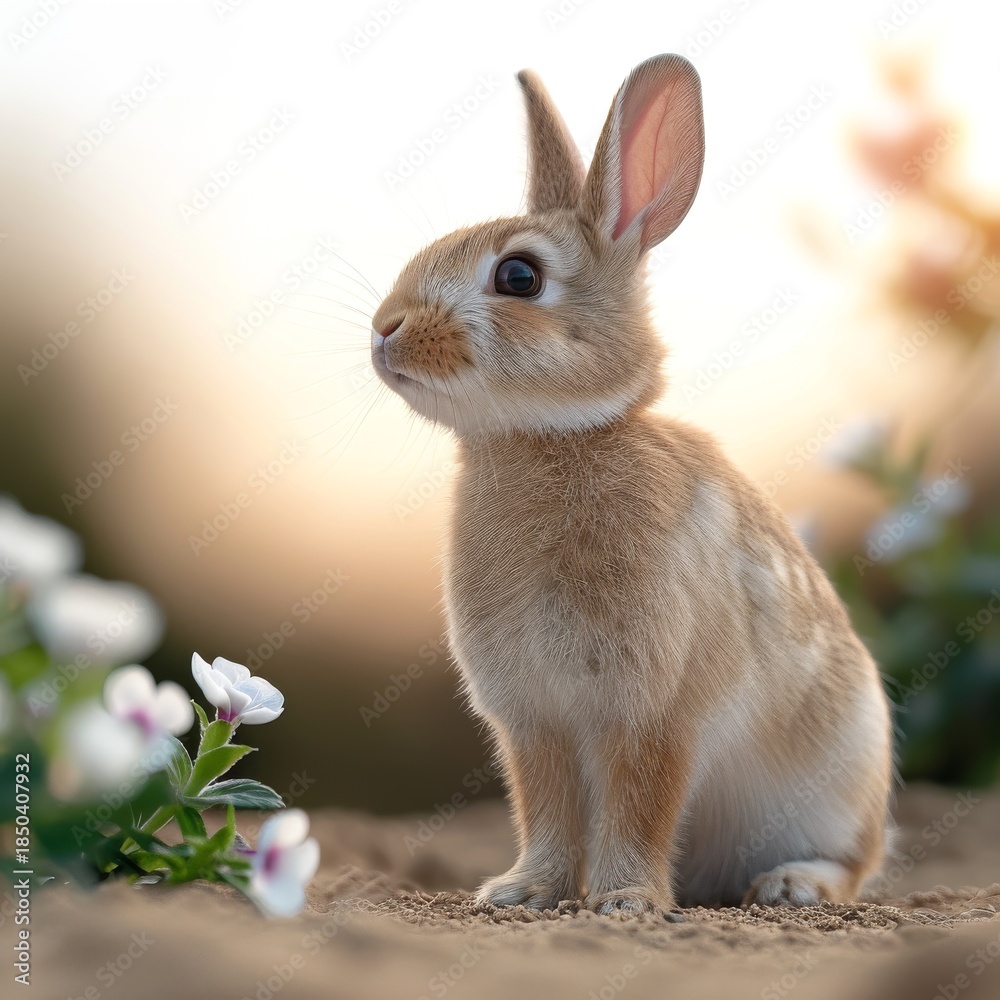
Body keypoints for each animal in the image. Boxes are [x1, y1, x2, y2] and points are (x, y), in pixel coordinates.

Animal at [370, 53, 894, 914]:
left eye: (519, 275)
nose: (385, 330)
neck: (551, 442)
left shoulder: (650, 709)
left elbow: (639, 801)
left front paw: (624, 901)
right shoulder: (533, 719)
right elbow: (545, 808)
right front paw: (520, 893)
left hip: (837, 781)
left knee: (854, 861)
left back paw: (792, 884)